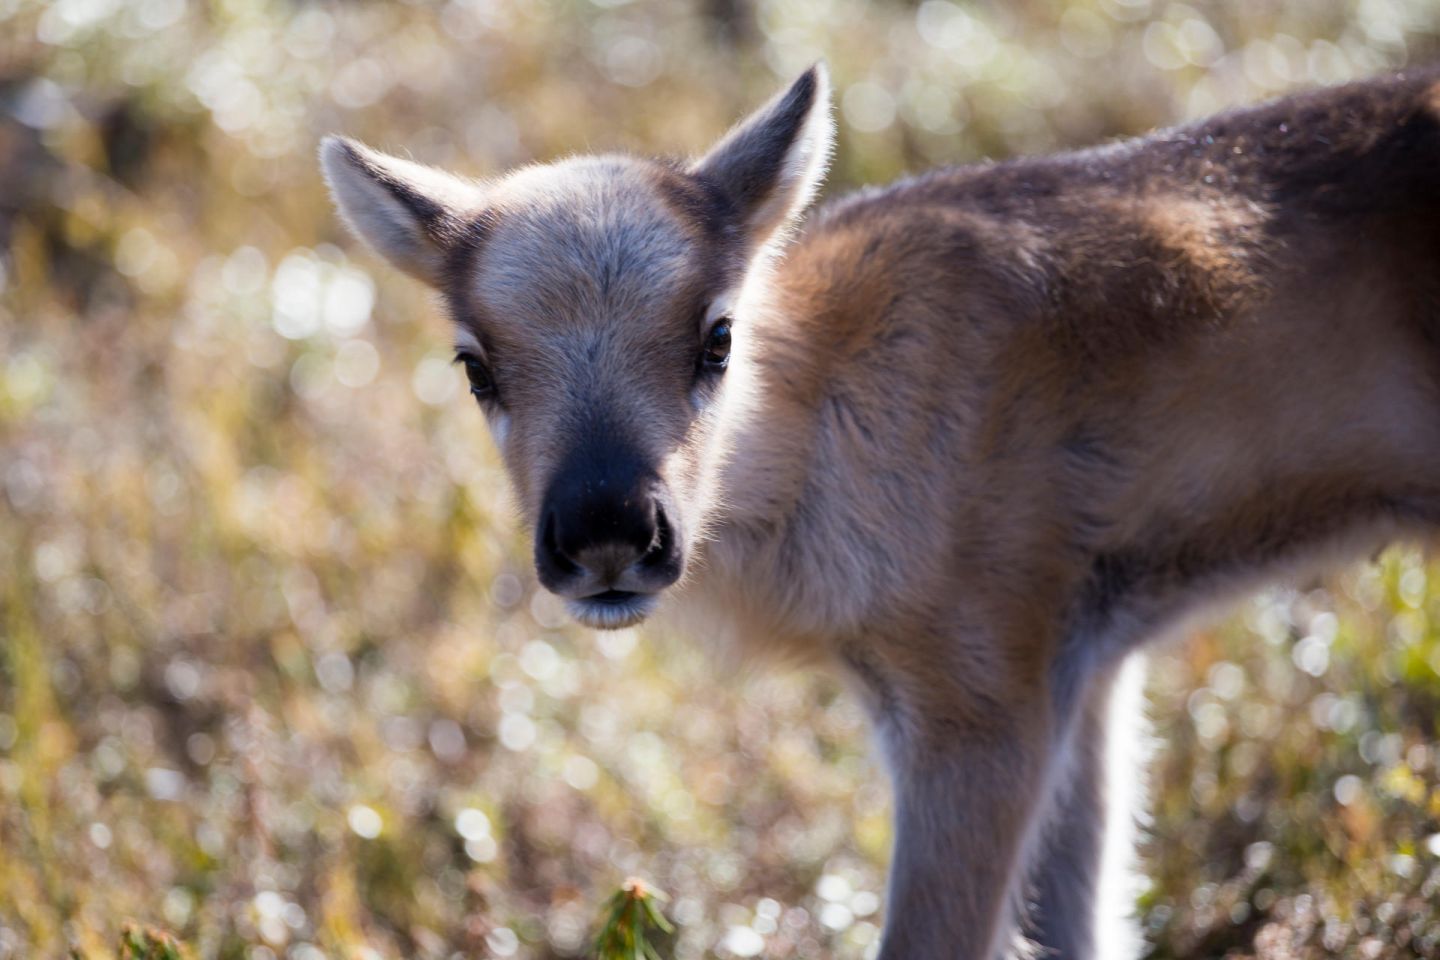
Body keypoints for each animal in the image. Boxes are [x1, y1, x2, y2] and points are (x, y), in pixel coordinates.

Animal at [324, 65, 1440, 955]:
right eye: (475, 364)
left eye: (717, 336)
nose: (607, 532)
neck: (823, 435)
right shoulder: (1085, 666)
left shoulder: (979, 696)